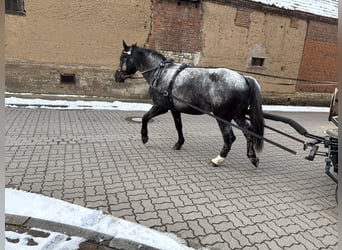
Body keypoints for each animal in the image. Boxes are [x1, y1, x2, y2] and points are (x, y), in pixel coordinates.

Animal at [115, 41, 264, 167]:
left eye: (122, 58)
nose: (116, 76)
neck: (161, 72)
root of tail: (244, 78)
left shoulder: (161, 106)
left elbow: (145, 117)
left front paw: (144, 137)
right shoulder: (174, 109)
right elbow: (178, 126)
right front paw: (179, 143)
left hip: (223, 117)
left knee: (229, 137)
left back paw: (218, 159)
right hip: (238, 115)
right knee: (249, 132)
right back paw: (252, 157)